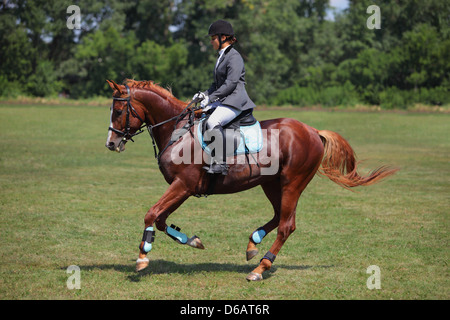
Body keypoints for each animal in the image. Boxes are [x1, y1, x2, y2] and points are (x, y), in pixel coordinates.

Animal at [103, 79, 398, 282]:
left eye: (118, 111)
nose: (111, 144)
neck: (177, 131)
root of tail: (313, 130)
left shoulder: (182, 185)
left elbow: (151, 214)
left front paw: (142, 256)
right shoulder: (183, 188)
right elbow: (162, 219)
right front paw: (193, 240)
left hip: (293, 182)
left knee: (286, 225)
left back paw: (260, 268)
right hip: (271, 183)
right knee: (280, 217)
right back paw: (253, 243)